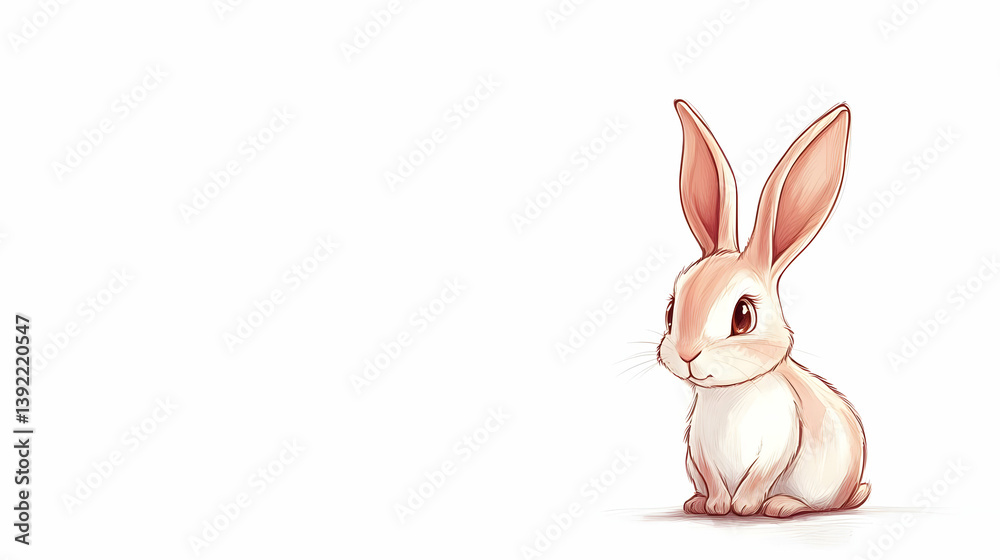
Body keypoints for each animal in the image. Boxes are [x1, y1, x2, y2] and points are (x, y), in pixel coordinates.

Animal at [655, 100, 869, 517]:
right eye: (671, 311)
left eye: (743, 317)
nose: (686, 354)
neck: (730, 392)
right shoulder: (699, 450)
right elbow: (714, 478)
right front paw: (717, 506)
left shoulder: (781, 441)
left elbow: (760, 476)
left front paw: (743, 507)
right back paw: (696, 502)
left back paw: (781, 505)